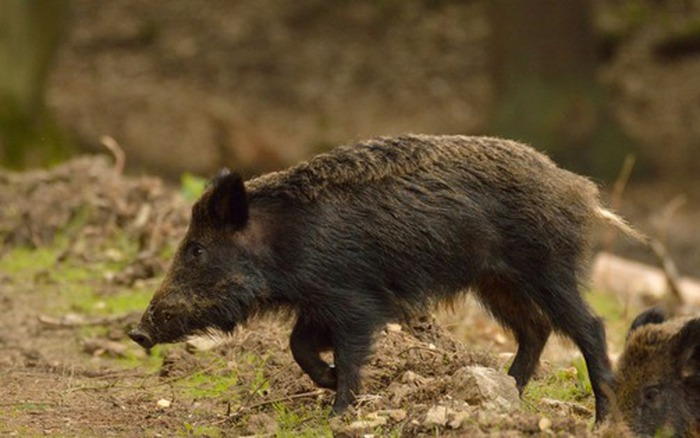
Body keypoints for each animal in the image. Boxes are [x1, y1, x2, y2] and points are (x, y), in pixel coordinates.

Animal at [129, 134, 643, 420]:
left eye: (197, 249)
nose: (137, 331)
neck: (284, 240)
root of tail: (579, 190)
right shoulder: (319, 302)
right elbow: (298, 345)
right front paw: (327, 381)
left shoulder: (355, 300)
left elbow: (347, 352)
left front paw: (337, 413)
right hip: (496, 283)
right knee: (534, 329)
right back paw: (506, 393)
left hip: (548, 268)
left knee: (589, 326)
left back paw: (600, 419)